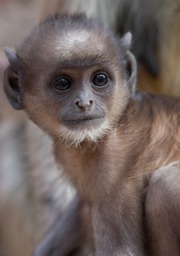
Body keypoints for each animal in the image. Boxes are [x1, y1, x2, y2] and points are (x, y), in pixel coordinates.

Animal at [3, 13, 180, 256]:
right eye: (63, 83)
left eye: (100, 79)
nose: (85, 103)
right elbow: (79, 206)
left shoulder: (113, 159)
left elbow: (121, 250)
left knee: (165, 186)